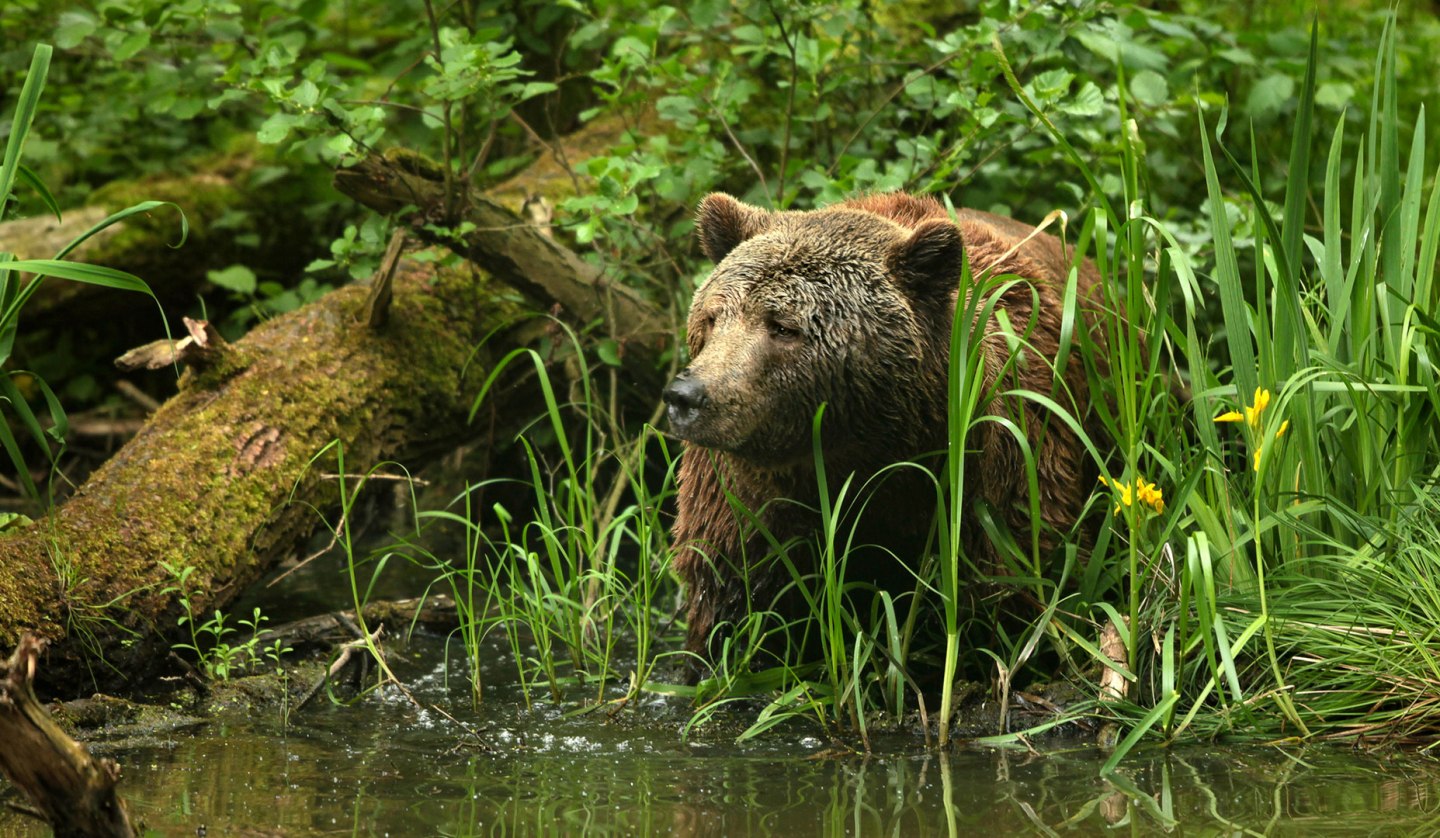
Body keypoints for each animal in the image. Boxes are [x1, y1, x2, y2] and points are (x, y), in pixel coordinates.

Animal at [662, 190, 1100, 670]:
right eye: (713, 317)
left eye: (782, 327)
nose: (687, 396)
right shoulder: (744, 497)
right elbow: (735, 595)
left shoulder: (995, 468)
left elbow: (1008, 579)